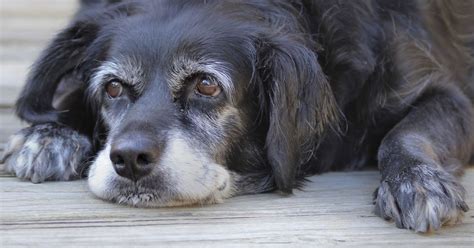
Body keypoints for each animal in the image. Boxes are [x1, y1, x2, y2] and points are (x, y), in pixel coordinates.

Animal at [2, 0, 474, 232]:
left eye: (207, 85)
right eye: (113, 87)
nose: (129, 159)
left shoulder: (450, 97)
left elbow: (404, 134)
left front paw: (415, 180)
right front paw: (51, 133)